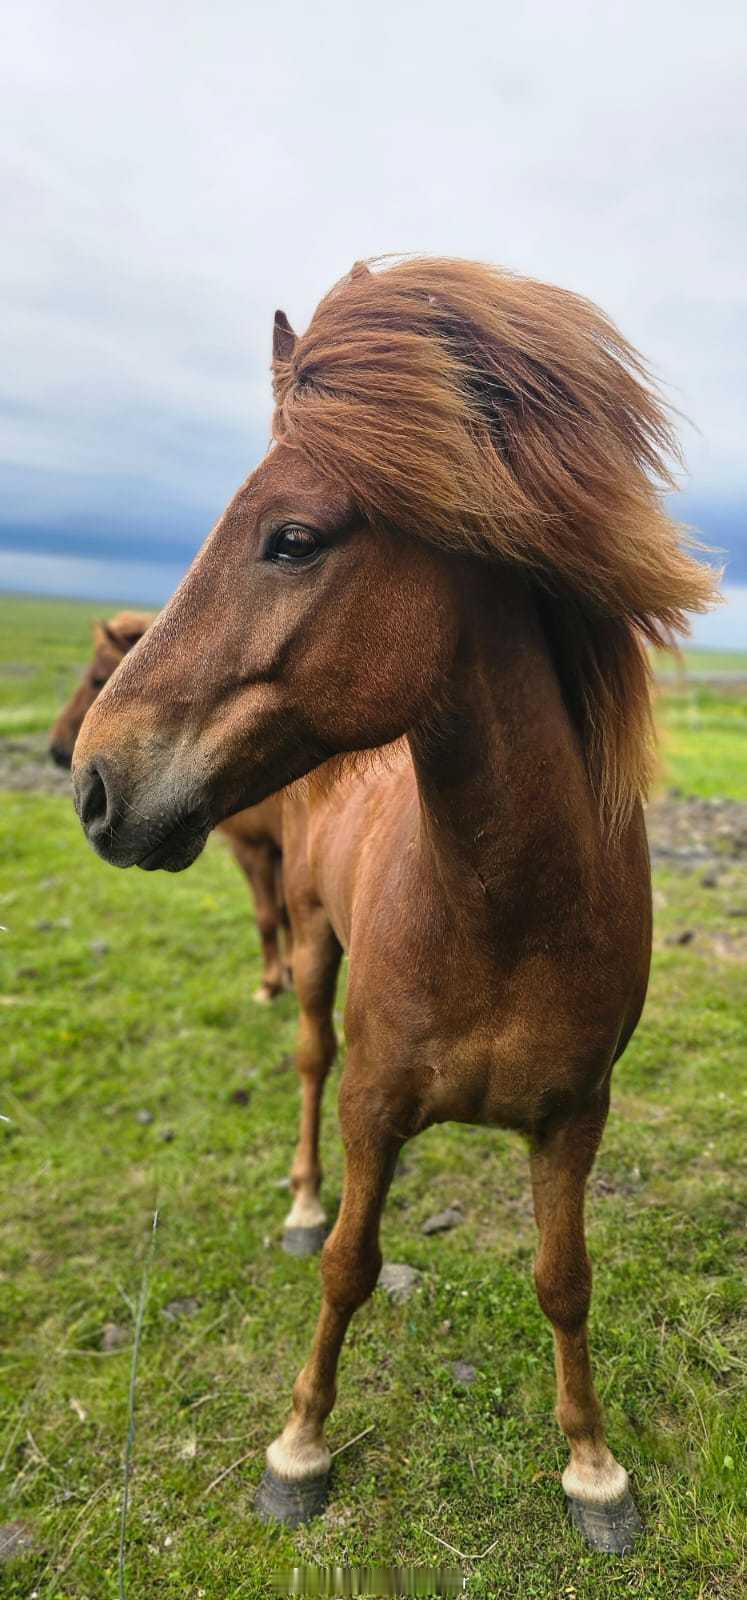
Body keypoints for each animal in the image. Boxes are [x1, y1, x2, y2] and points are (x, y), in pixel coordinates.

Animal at [49, 611, 290, 1004]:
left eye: (97, 678)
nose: (55, 749)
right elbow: (285, 915)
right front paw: (288, 972)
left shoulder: (254, 849)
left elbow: (268, 915)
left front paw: (271, 983)